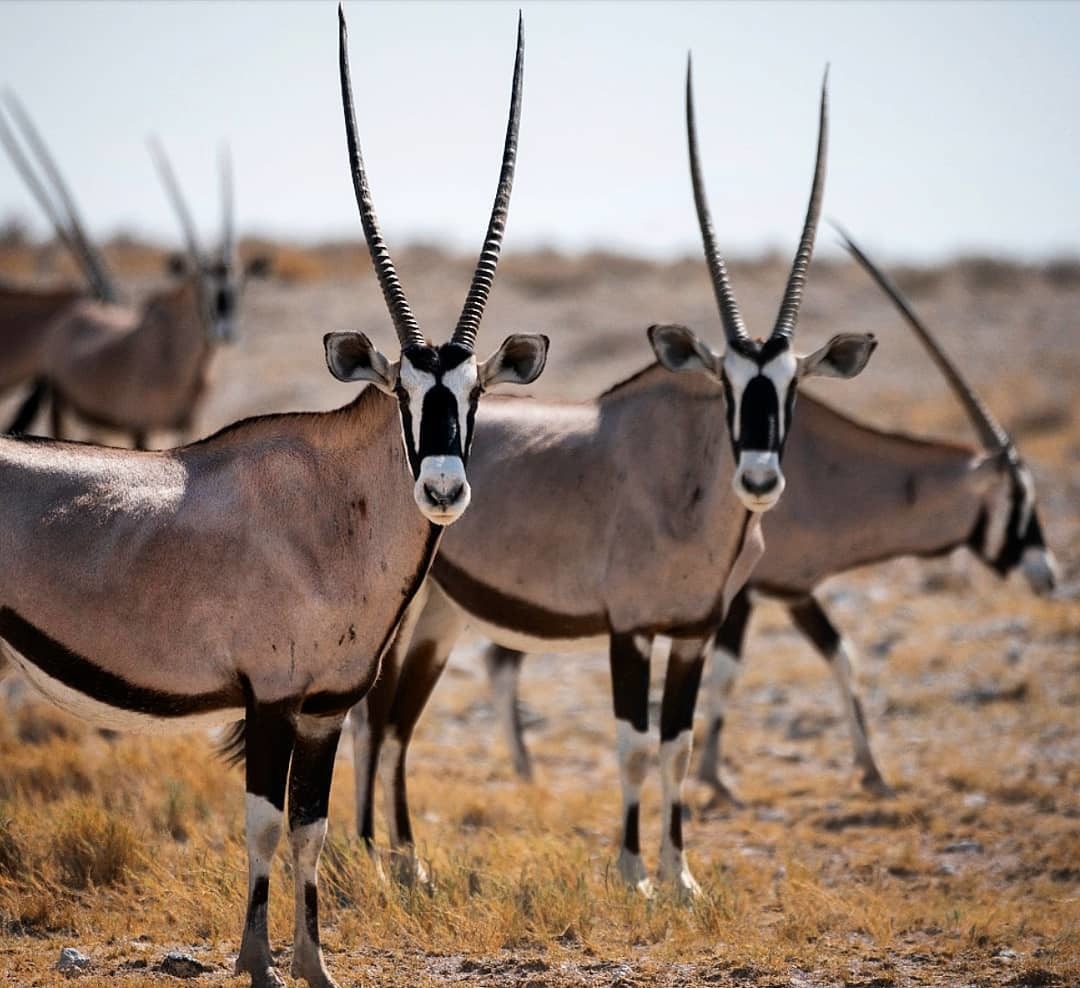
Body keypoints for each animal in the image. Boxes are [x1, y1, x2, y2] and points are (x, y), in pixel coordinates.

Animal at [0, 92, 270, 449]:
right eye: (201, 283)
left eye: (243, 282)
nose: (225, 330)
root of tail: (70, 317)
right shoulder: (139, 428)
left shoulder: (189, 426)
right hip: (61, 405)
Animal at [352, 59, 876, 898]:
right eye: (727, 385)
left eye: (795, 387)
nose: (761, 478)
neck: (688, 488)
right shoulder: (628, 628)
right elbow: (632, 744)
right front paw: (633, 873)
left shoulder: (694, 632)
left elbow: (678, 747)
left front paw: (681, 877)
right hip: (403, 614)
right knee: (371, 716)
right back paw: (367, 853)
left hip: (440, 615)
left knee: (399, 722)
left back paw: (406, 862)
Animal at [486, 229, 1058, 803]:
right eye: (1021, 495)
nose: (1049, 575)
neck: (826, 468)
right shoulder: (743, 595)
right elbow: (727, 672)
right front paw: (717, 779)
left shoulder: (794, 589)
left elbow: (841, 655)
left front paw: (873, 771)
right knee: (502, 660)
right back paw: (524, 768)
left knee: (501, 658)